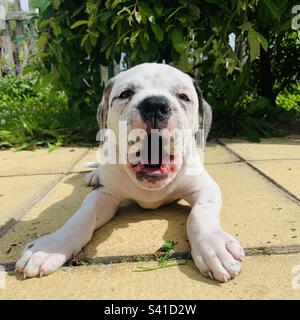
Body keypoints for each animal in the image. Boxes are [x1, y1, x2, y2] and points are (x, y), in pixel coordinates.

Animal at [16, 63, 244, 282]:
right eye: (125, 93)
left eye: (183, 97)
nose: (155, 105)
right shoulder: (104, 195)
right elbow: (81, 217)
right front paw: (50, 247)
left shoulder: (205, 188)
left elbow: (200, 214)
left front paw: (213, 246)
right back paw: (93, 175)